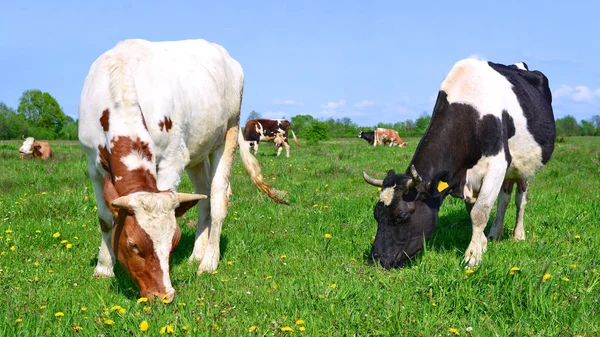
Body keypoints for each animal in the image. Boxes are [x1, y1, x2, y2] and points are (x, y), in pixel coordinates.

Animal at [78, 38, 288, 300]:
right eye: (132, 245)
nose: (163, 295)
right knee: (204, 197)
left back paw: (208, 261)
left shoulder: (173, 158)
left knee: (218, 199)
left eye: (173, 242)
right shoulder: (94, 166)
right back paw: (197, 252)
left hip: (228, 131)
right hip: (197, 154)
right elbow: (105, 218)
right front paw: (104, 268)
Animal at [360, 57, 552, 268]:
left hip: (525, 166)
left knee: (520, 200)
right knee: (504, 199)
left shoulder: (498, 163)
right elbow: (473, 210)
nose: (376, 259)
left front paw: (472, 257)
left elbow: (480, 212)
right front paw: (482, 243)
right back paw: (495, 233)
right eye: (376, 214)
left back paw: (518, 234)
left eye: (402, 215)